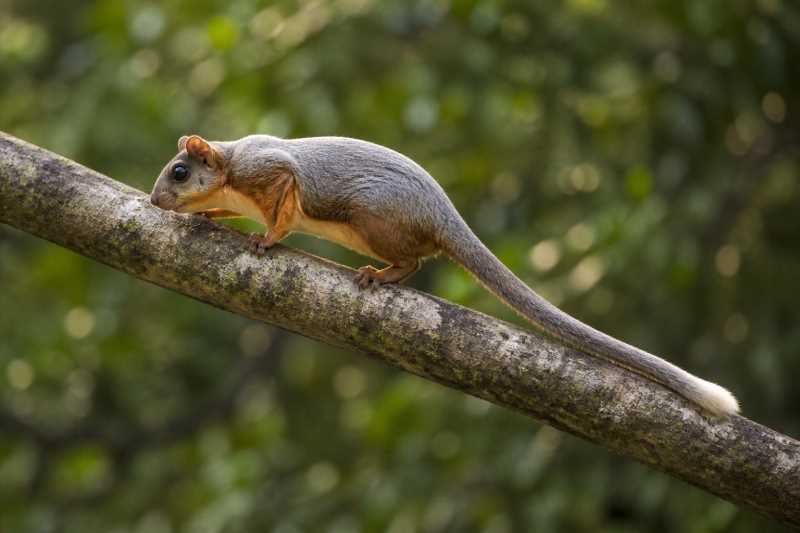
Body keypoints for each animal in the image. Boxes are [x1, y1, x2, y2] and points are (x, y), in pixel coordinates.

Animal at [150, 134, 740, 417]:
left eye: (179, 172)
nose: (156, 200)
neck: (231, 171)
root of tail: (441, 213)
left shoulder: (272, 173)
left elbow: (281, 212)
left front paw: (266, 239)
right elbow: (225, 212)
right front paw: (206, 217)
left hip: (374, 222)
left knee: (414, 261)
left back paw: (379, 275)